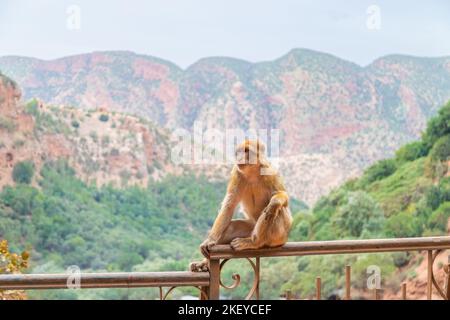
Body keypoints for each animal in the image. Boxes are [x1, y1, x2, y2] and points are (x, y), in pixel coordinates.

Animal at [189, 139, 292, 272]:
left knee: (277, 210)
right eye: (238, 151)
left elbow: (283, 196)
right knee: (232, 227)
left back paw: (255, 242)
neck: (253, 171)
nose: (239, 157)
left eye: (246, 151)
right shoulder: (236, 173)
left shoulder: (270, 171)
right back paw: (204, 263)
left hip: (278, 236)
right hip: (251, 226)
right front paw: (210, 241)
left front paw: (274, 203)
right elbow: (229, 205)